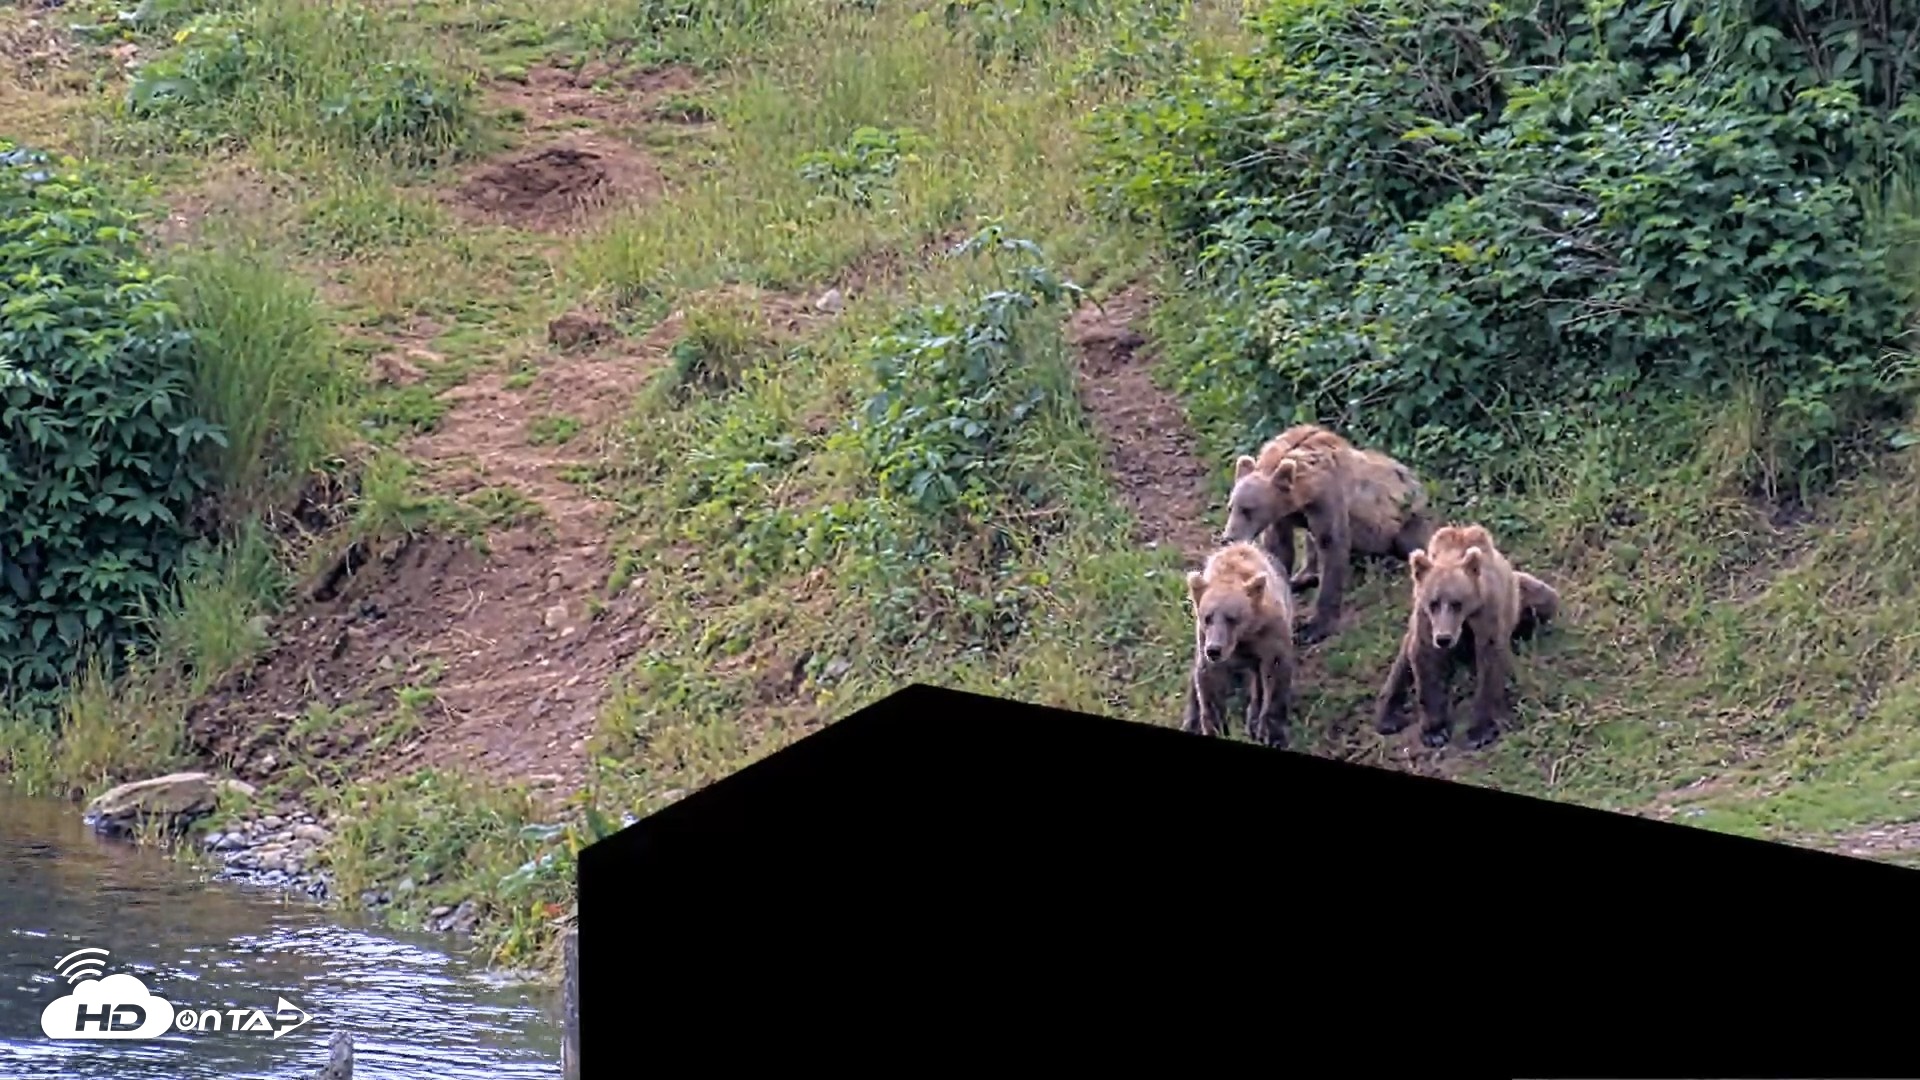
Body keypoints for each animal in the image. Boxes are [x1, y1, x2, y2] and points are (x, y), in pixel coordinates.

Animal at [1179, 540, 1297, 749]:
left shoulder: (1269, 634)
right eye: (1207, 617)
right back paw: (1191, 720)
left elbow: (1275, 674)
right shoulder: (1205, 639)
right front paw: (1215, 726)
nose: (1214, 650)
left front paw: (1272, 734)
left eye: (1232, 618)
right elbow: (1209, 681)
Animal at [1219, 426, 1434, 645]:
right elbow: (1279, 547)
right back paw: (1303, 577)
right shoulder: (1285, 516)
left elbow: (1331, 544)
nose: (1229, 537)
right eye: (1231, 507)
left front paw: (1313, 628)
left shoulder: (1326, 499)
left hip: (1403, 520)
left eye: (1248, 510)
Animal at [1372, 523, 1562, 751]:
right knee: (1402, 660)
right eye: (1434, 603)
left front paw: (1480, 730)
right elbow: (1425, 659)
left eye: (1457, 603)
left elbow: (1489, 659)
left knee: (1545, 599)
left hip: (1523, 593)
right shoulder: (1425, 619)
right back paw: (1388, 717)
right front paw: (1434, 731)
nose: (1444, 639)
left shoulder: (1487, 610)